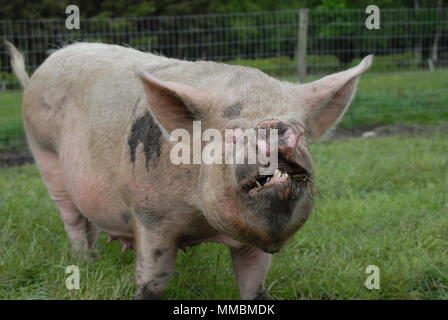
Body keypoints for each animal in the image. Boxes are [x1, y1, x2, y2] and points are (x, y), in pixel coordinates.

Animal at [5, 40, 372, 300]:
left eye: (300, 128)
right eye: (233, 130)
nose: (277, 127)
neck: (200, 221)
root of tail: (38, 72)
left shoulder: (255, 243)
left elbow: (253, 283)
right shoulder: (150, 217)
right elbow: (154, 278)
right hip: (45, 156)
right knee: (72, 220)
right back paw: (84, 263)